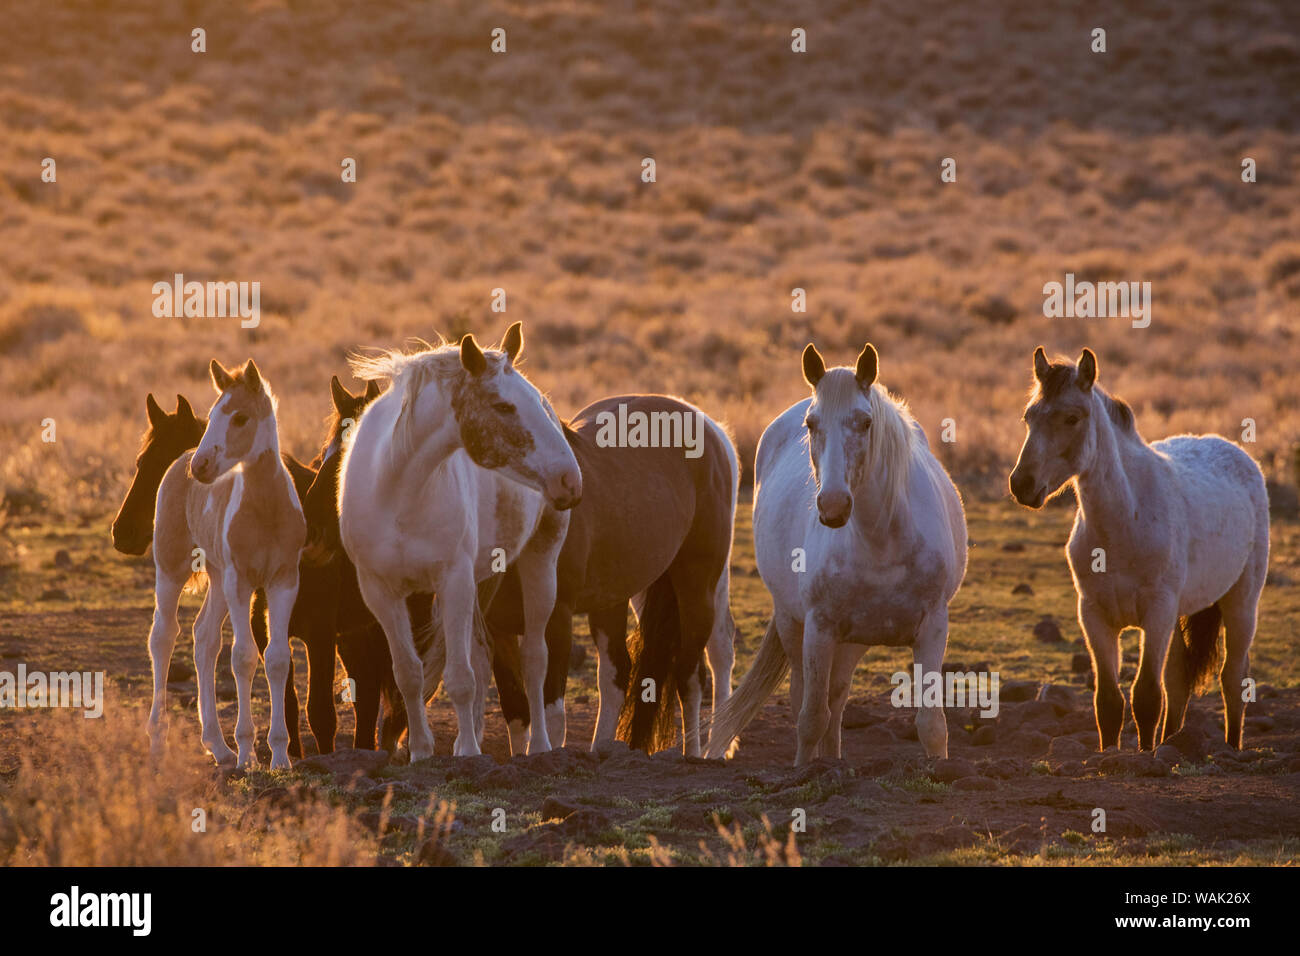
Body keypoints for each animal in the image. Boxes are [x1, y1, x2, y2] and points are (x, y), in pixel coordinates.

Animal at [146, 359, 306, 769]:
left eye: (240, 417)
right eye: (214, 413)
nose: (201, 467)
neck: (266, 510)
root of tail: (179, 459)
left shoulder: (283, 581)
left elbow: (277, 658)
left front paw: (279, 756)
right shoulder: (241, 581)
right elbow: (244, 657)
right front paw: (248, 753)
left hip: (217, 578)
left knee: (204, 638)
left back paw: (217, 745)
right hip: (171, 568)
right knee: (163, 636)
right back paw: (158, 741)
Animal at [338, 322, 581, 759]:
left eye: (532, 401)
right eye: (503, 407)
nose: (569, 480)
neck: (398, 490)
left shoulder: (453, 581)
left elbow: (460, 678)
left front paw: (467, 751)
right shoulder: (381, 592)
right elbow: (409, 674)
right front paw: (420, 751)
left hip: (540, 562)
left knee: (534, 659)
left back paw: (539, 746)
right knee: (481, 656)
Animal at [479, 395, 739, 757]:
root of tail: (710, 427)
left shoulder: (557, 618)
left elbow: (552, 709)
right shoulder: (498, 627)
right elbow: (515, 708)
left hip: (698, 586)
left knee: (694, 672)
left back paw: (701, 753)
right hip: (618, 599)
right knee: (618, 673)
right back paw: (604, 749)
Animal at [705, 343, 968, 765]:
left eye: (865, 422)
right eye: (811, 424)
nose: (832, 506)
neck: (882, 541)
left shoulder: (932, 628)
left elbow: (931, 725)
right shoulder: (819, 628)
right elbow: (810, 717)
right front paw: (803, 771)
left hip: (852, 642)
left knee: (838, 700)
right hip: (794, 624)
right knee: (812, 701)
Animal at [1009, 347, 1269, 751]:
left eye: (1072, 418)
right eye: (1029, 416)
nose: (1022, 484)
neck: (1124, 523)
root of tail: (1243, 458)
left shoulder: (1157, 612)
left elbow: (1146, 696)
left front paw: (1144, 756)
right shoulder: (1094, 616)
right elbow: (1109, 702)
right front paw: (1113, 755)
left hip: (1240, 603)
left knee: (1232, 680)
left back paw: (1230, 748)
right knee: (1178, 682)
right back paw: (1174, 743)